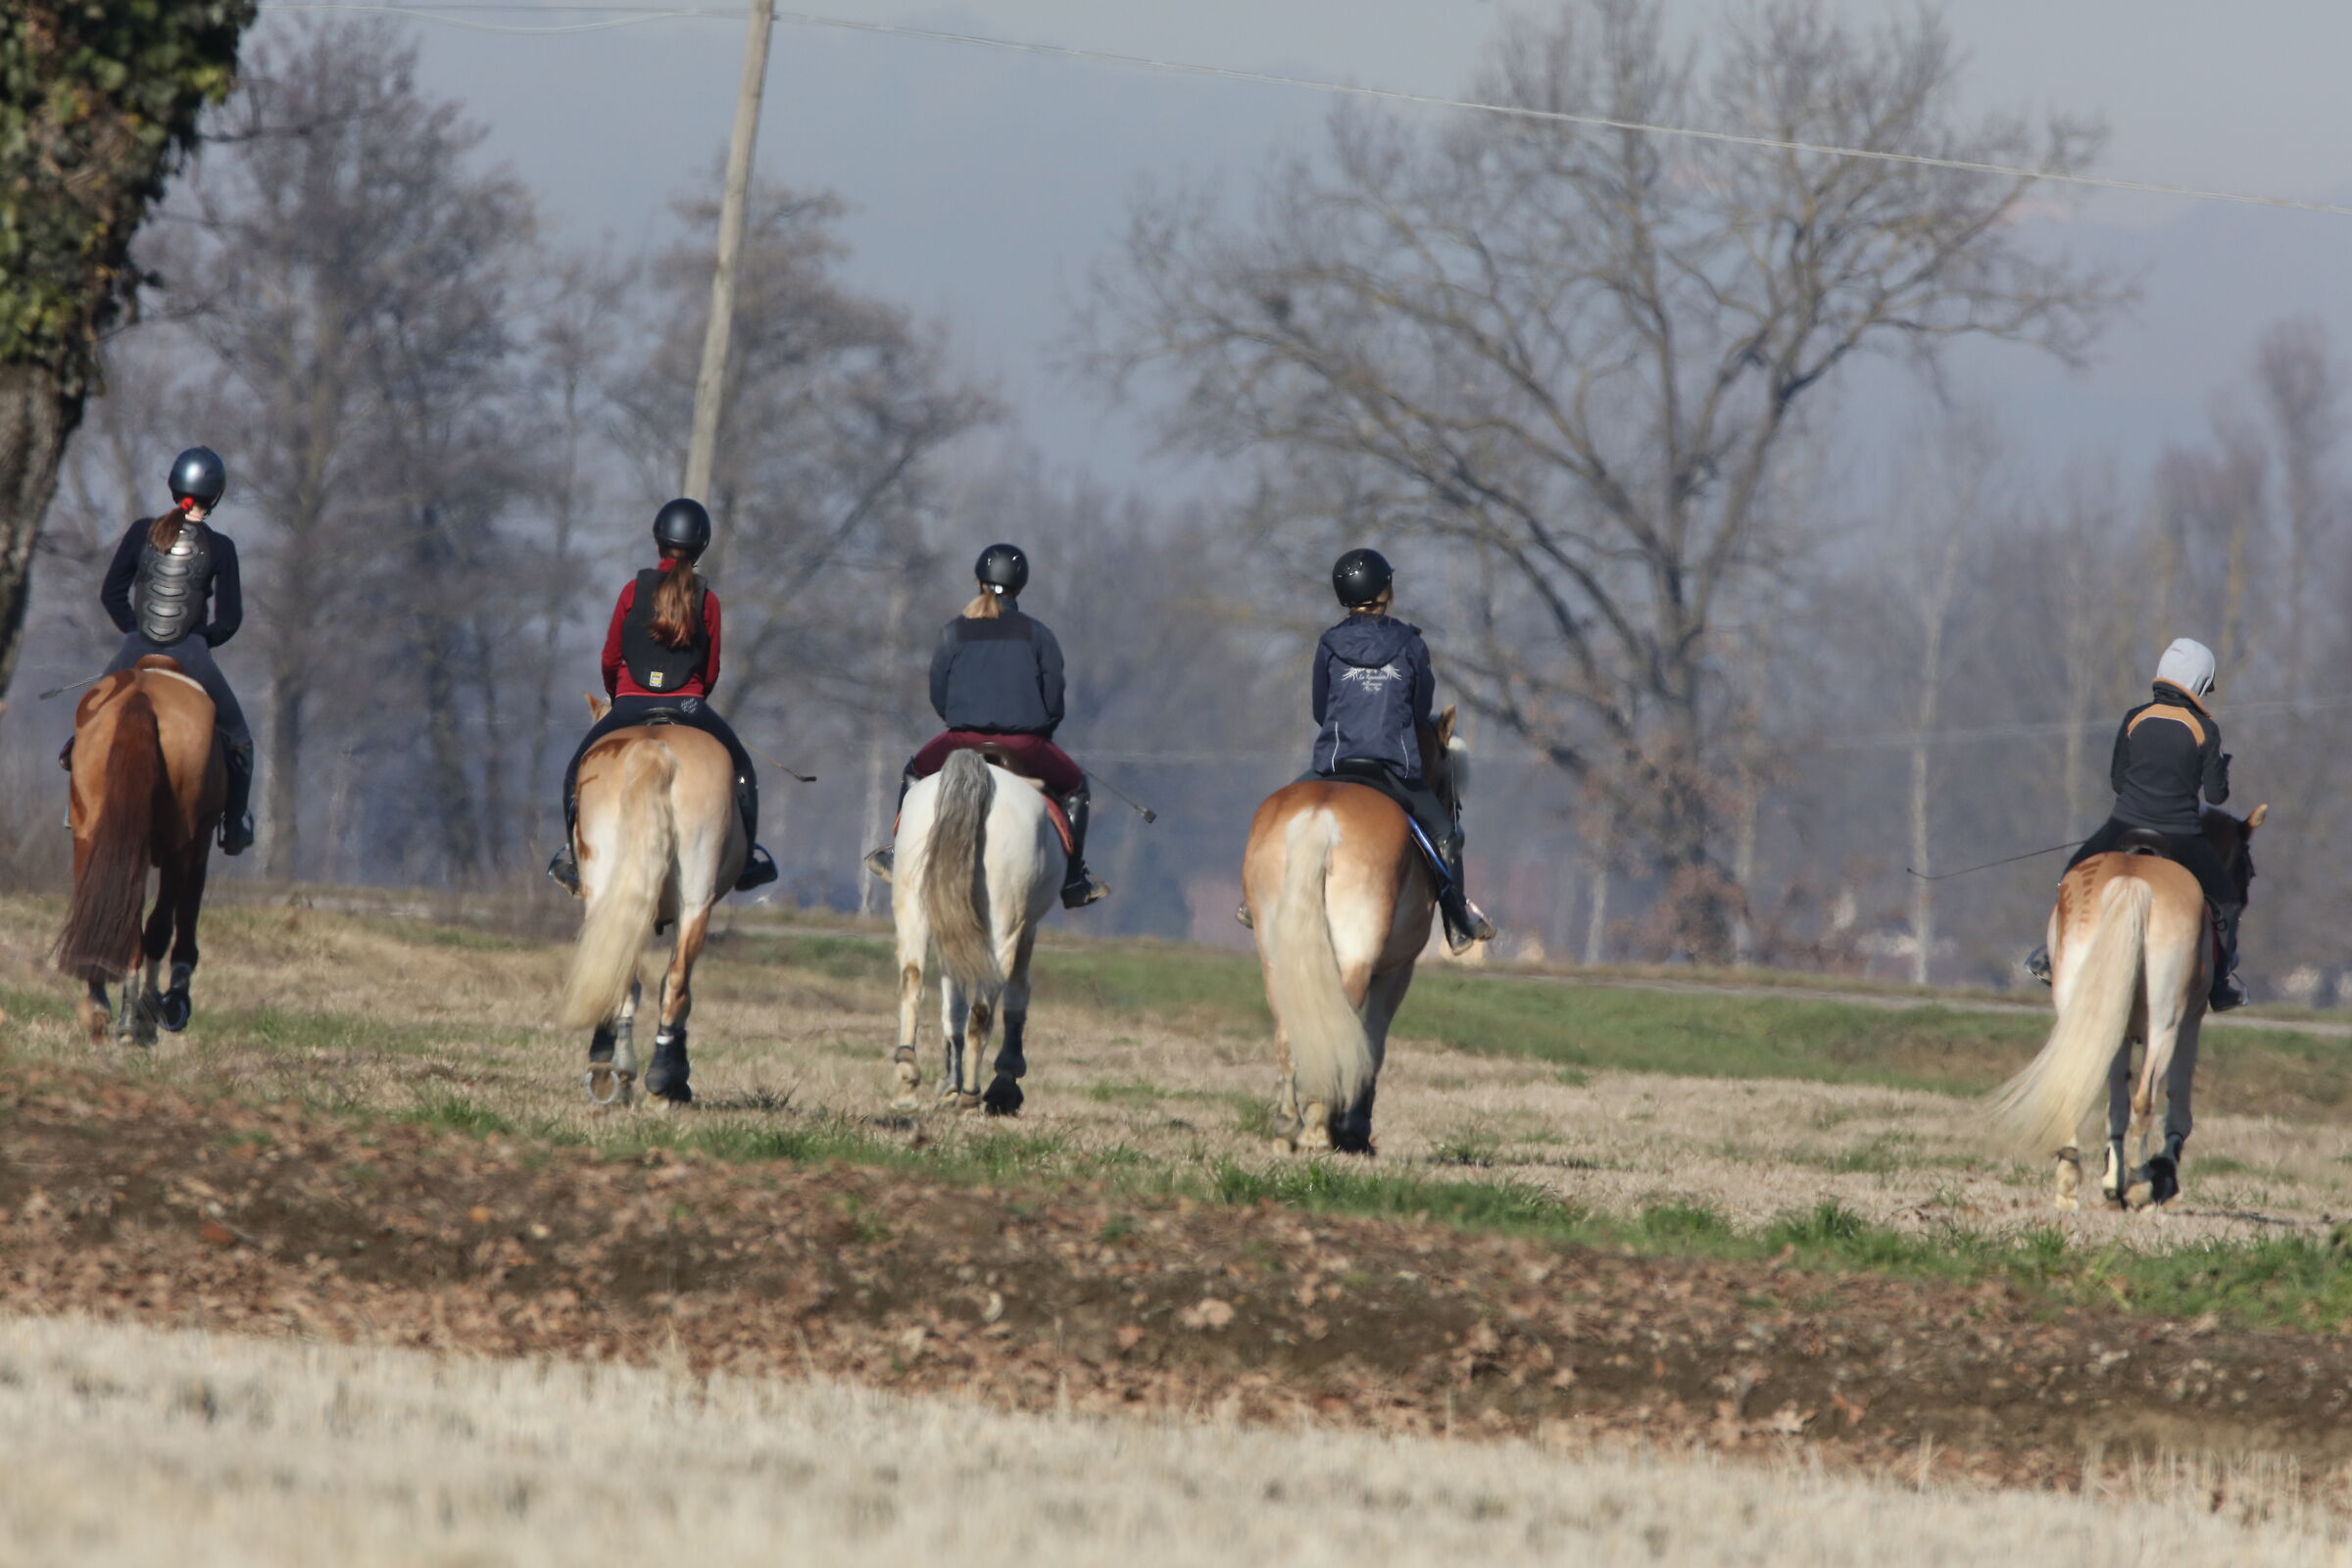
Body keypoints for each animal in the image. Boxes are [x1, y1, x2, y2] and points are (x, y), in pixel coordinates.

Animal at [53, 657, 225, 1046]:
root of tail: (141, 696)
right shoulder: (199, 845)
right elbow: (182, 919)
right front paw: (174, 1001)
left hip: (91, 834)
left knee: (116, 915)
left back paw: (109, 1011)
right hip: (181, 847)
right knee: (158, 926)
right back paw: (142, 1017)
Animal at [555, 699, 744, 1107]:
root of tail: (653, 749)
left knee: (634, 976)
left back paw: (615, 1071)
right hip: (694, 900)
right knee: (673, 985)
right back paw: (657, 1078)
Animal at [887, 747, 1064, 1115]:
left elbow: (951, 1006)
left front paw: (947, 1083)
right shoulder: (1026, 930)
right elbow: (1017, 997)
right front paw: (1005, 1081)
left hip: (913, 908)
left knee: (912, 980)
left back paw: (907, 1077)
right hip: (1003, 928)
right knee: (983, 1010)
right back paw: (970, 1093)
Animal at [1241, 707, 1466, 1154]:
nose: (1457, 810)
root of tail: (1320, 818)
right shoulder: (1396, 970)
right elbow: (1372, 1042)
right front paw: (1357, 1127)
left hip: (1277, 960)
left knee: (1290, 1033)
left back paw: (1289, 1124)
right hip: (1356, 959)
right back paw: (1318, 1128)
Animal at [1988, 803, 2266, 1209]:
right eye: (2248, 868)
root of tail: (2133, 881)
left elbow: (2114, 1107)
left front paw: (2110, 1179)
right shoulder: (2189, 1026)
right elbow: (2176, 1107)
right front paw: (2158, 1174)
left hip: (2090, 1014)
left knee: (2077, 1081)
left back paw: (2071, 1180)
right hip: (2165, 1026)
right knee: (2145, 1101)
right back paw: (2140, 1182)